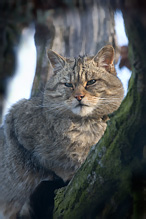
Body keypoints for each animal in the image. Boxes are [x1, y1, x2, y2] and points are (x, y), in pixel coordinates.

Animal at [0, 45, 123, 217]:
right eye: (68, 85)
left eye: (91, 82)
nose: (79, 96)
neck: (84, 126)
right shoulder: (15, 125)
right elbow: (50, 166)